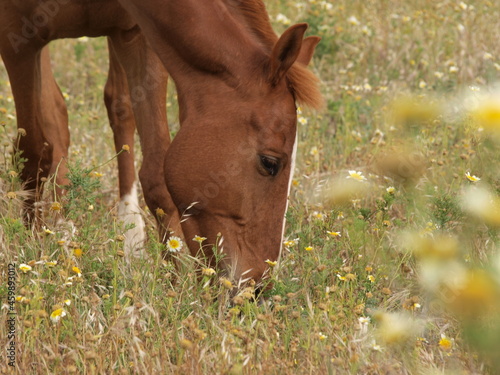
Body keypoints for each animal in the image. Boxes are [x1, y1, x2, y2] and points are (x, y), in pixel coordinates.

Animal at [1, 0, 322, 284]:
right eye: (270, 163)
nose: (257, 286)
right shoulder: (18, 42)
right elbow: (33, 153)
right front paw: (33, 253)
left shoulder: (136, 35)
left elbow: (157, 175)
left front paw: (174, 281)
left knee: (107, 106)